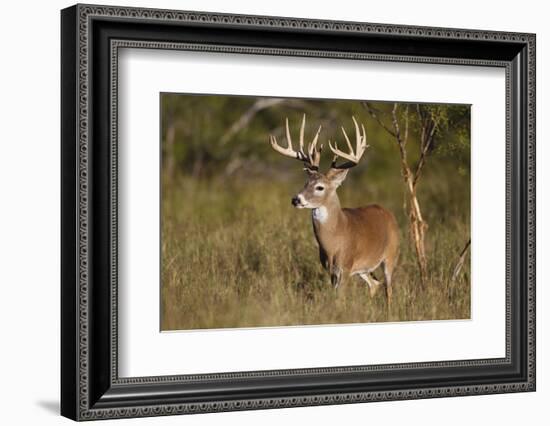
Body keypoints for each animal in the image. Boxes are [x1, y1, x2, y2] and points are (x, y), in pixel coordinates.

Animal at [270, 115, 402, 304]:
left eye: (320, 187)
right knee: (375, 283)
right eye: (305, 183)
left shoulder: (345, 266)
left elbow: (340, 298)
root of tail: (389, 214)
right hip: (364, 267)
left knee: (388, 288)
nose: (296, 199)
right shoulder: (330, 269)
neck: (335, 239)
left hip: (391, 255)